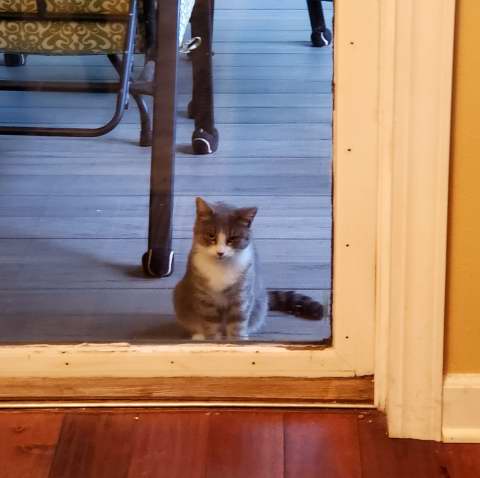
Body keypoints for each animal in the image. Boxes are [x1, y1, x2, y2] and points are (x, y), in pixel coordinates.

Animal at [172, 198, 322, 340]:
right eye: (211, 236)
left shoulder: (242, 295)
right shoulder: (205, 299)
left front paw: (237, 340)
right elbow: (211, 325)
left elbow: (237, 324)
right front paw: (211, 339)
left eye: (232, 238)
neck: (221, 267)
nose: (220, 253)